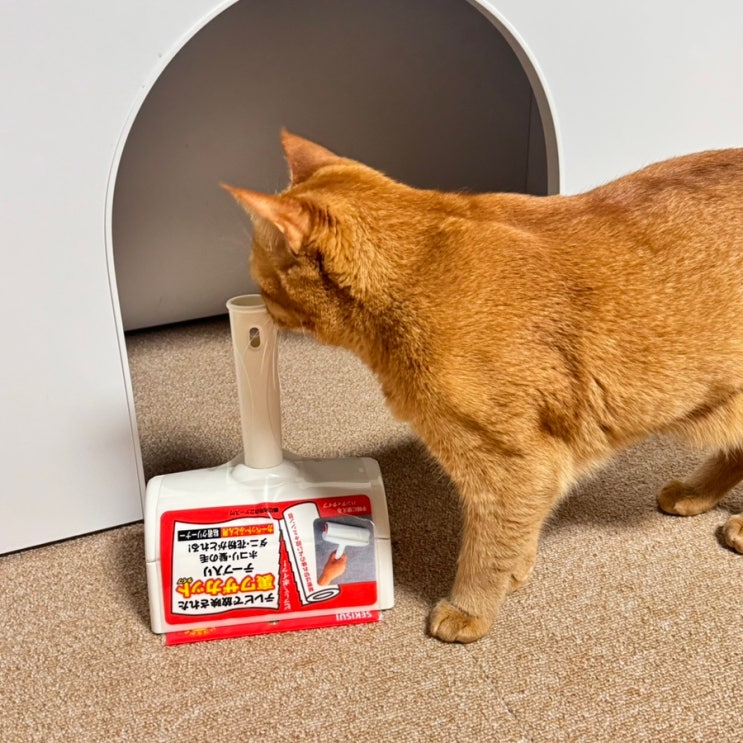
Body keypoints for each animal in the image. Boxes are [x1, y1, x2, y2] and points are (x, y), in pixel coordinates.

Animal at [224, 130, 743, 643]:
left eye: (262, 280)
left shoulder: (513, 465)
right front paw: (517, 570)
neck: (417, 278)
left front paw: (469, 608)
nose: (259, 306)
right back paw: (693, 495)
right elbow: (516, 534)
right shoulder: (529, 469)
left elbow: (485, 550)